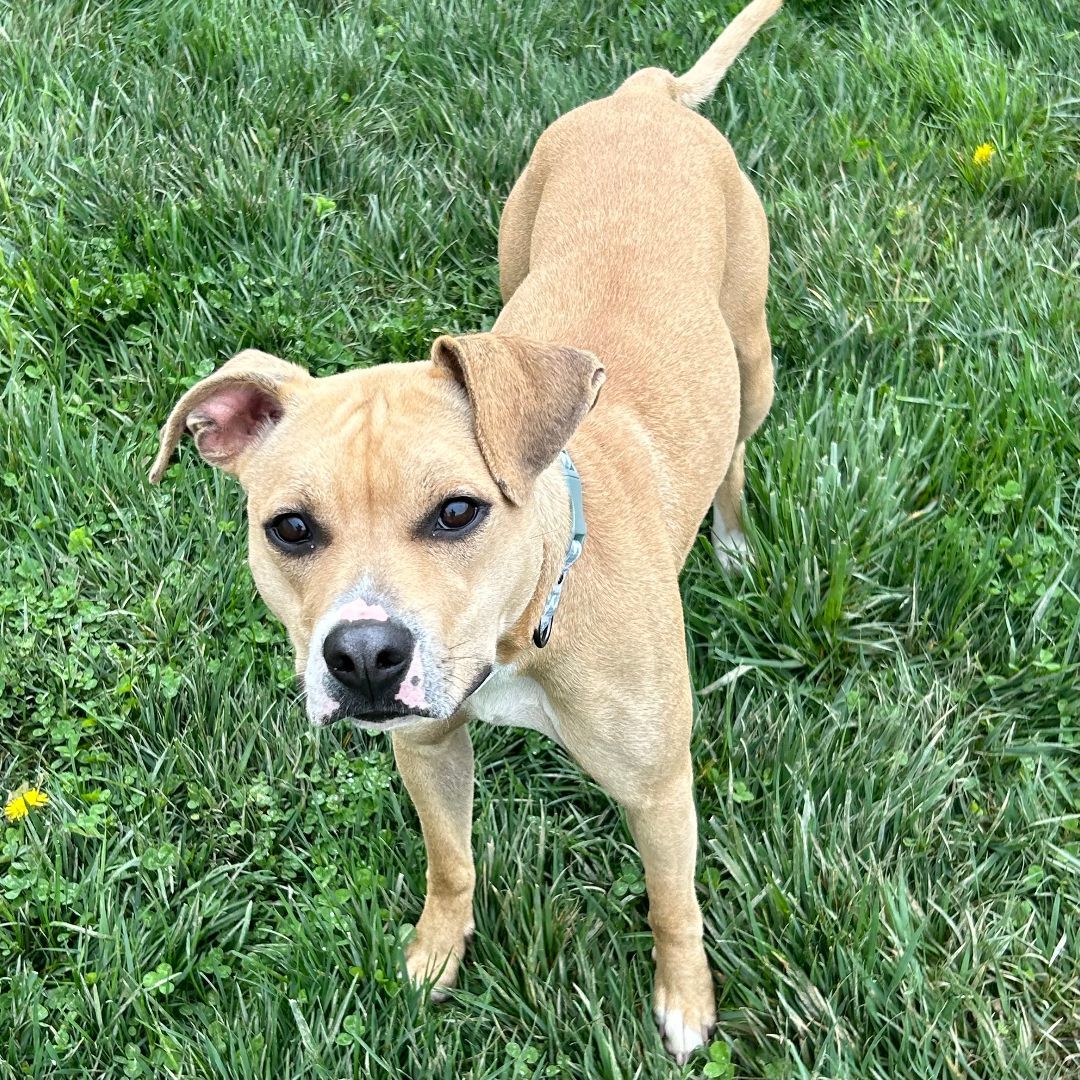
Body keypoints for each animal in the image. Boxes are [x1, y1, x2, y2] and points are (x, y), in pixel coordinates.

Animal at [150, 0, 777, 1062]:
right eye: (289, 529)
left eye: (457, 512)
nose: (363, 656)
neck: (526, 626)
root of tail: (643, 97)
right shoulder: (425, 743)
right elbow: (451, 859)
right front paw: (438, 952)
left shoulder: (658, 785)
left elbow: (672, 902)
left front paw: (687, 1002)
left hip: (751, 354)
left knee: (736, 448)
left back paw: (731, 544)